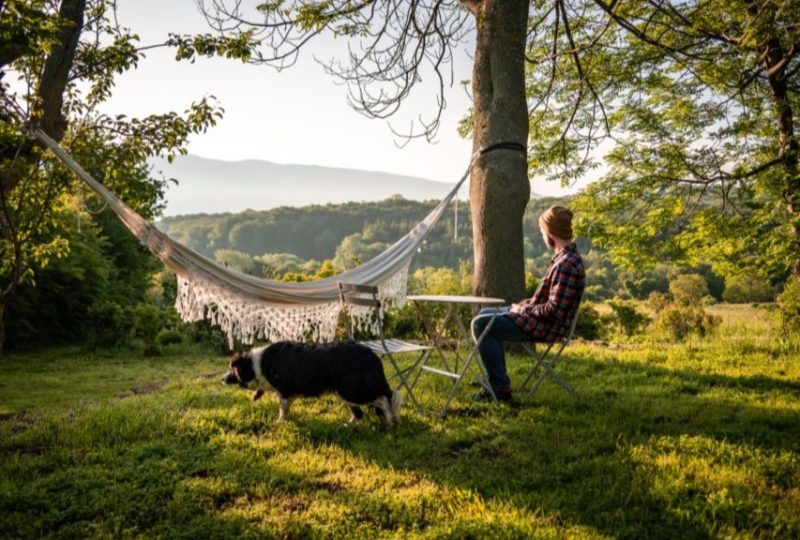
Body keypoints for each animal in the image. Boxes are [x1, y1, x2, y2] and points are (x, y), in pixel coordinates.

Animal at [222, 342, 404, 426]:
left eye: (231, 370)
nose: (221, 379)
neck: (256, 364)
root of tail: (372, 356)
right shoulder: (288, 393)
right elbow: (285, 409)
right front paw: (285, 420)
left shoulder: (285, 391)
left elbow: (282, 409)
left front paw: (280, 422)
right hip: (344, 392)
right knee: (359, 413)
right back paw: (348, 424)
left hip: (351, 389)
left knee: (383, 398)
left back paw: (391, 421)